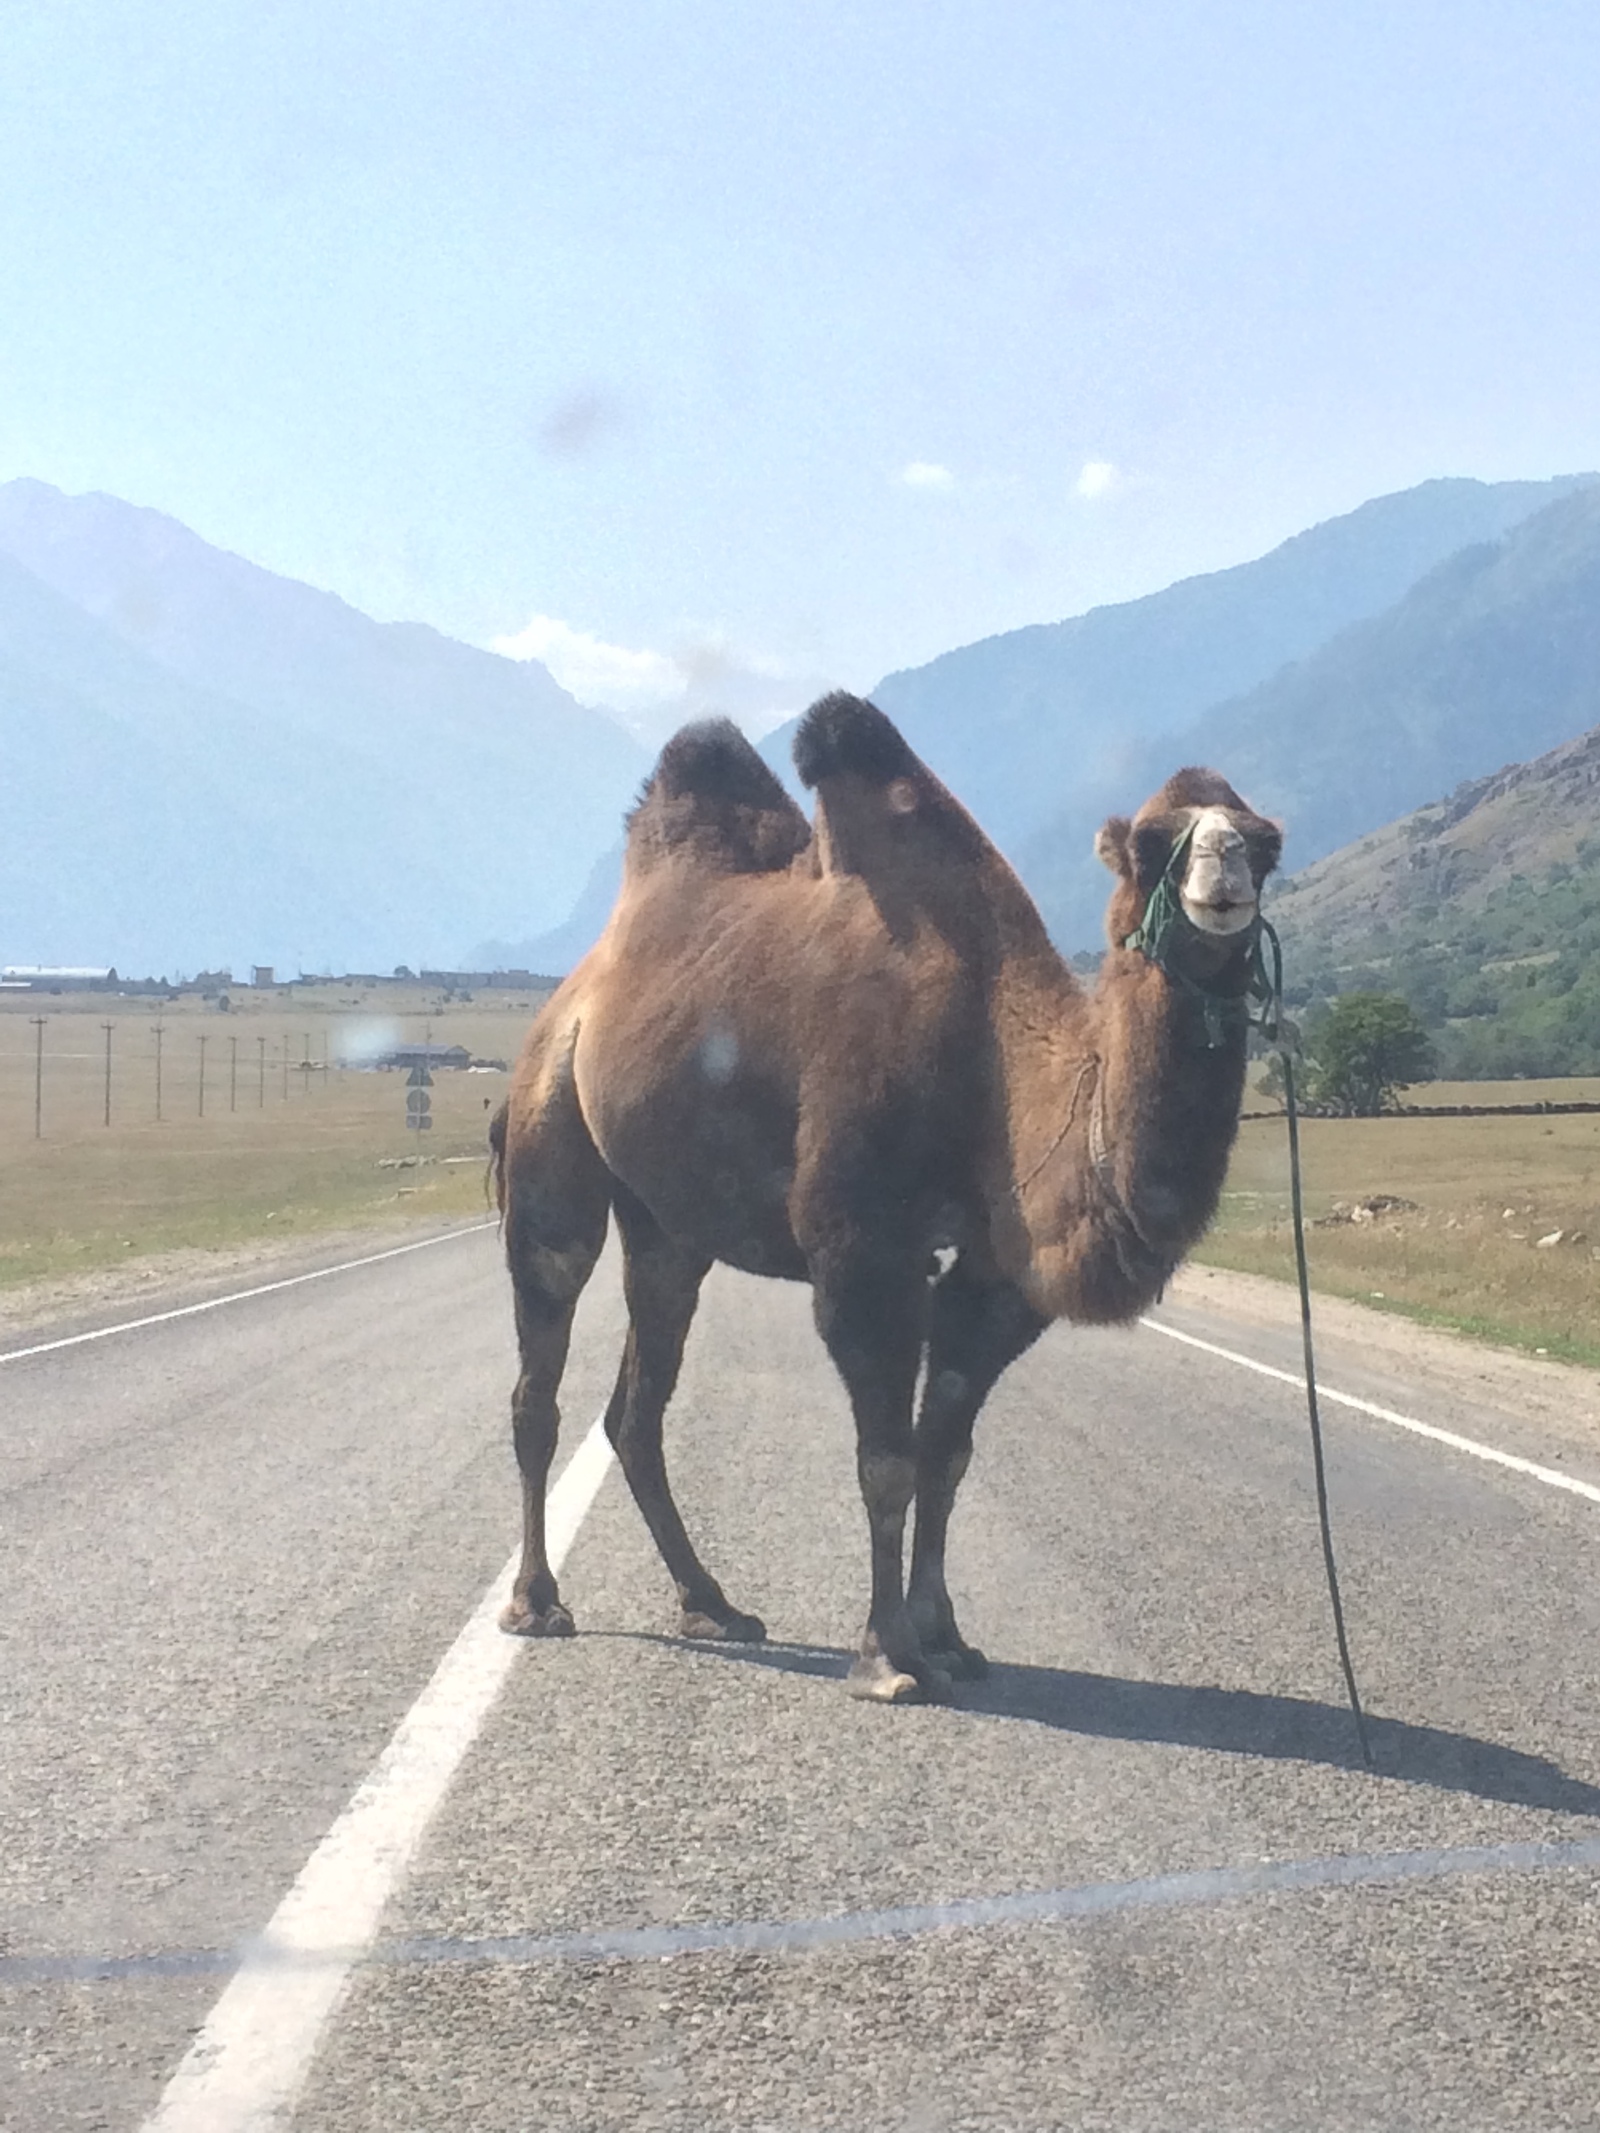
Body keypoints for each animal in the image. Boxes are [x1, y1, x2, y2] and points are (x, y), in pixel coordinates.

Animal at [494, 691, 1288, 1706]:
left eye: (1266, 841)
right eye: (1154, 844)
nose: (1223, 873)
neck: (995, 1062)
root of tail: (571, 996)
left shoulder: (993, 1278)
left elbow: (945, 1455)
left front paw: (947, 1638)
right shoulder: (863, 1250)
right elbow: (888, 1460)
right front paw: (888, 1656)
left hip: (667, 1226)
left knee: (638, 1402)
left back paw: (713, 1603)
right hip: (550, 1133)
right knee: (540, 1371)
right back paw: (537, 1601)